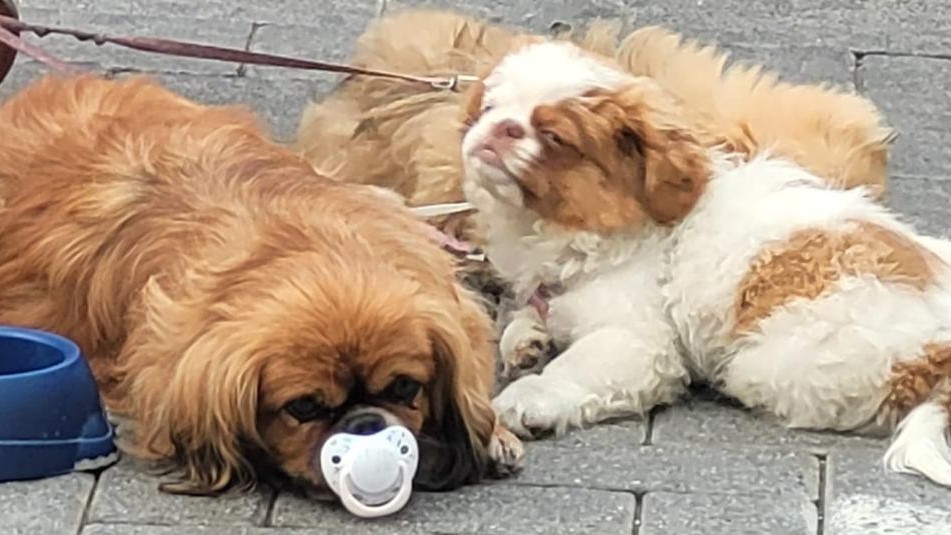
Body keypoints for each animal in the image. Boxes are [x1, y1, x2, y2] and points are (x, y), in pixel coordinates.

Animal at [464, 39, 951, 488]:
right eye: (489, 107)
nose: (502, 127)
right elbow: (528, 314)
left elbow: (577, 367)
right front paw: (526, 341)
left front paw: (528, 398)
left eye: (554, 138)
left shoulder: (637, 340)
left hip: (768, 363)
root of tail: (937, 350)